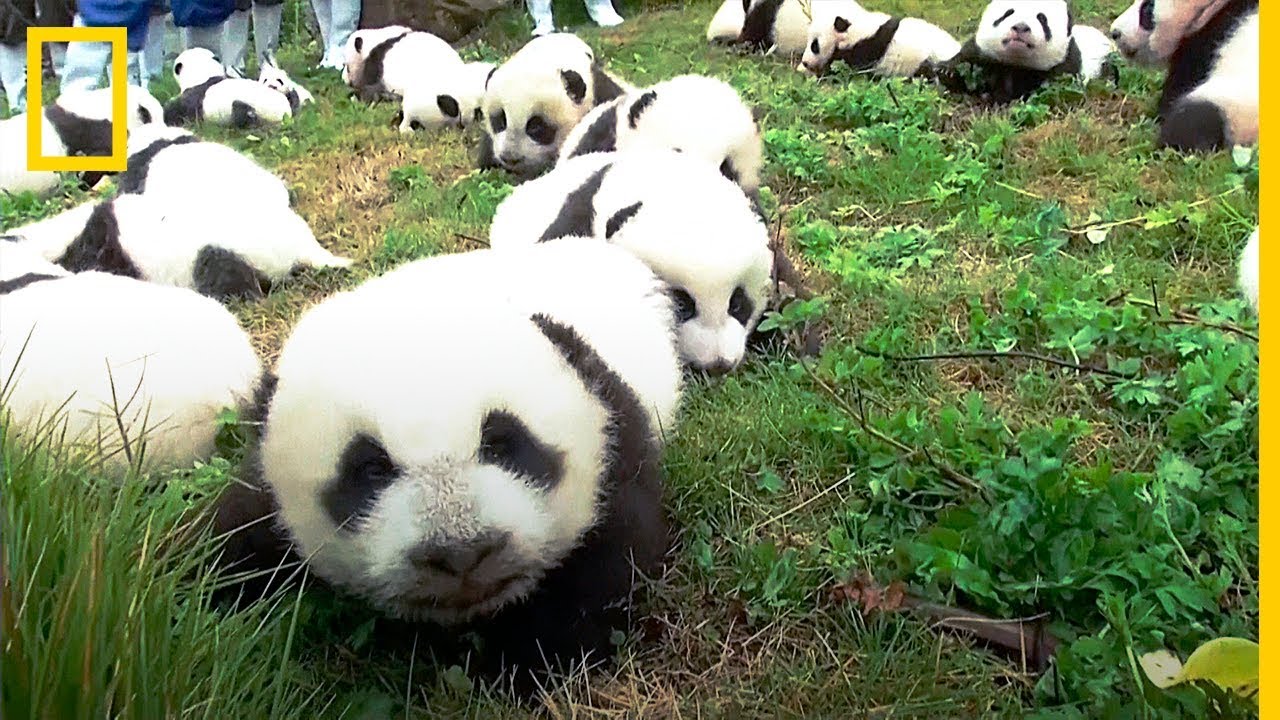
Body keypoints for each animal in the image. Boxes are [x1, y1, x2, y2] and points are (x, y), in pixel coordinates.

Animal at [166, 48, 297, 128]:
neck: (203, 72)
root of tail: (285, 115)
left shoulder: (193, 95)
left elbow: (175, 110)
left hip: (257, 111)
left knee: (241, 112)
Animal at [209, 238, 680, 690]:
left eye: (499, 444)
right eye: (371, 469)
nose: (462, 555)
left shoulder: (611, 433)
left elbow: (607, 559)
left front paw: (528, 662)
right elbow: (237, 536)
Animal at [936, 0, 1116, 104]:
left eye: (1042, 18)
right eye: (1008, 13)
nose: (1021, 27)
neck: (1016, 61)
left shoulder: (1063, 65)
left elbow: (1050, 90)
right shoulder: (984, 54)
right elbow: (966, 63)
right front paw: (947, 72)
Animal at [1122, 0, 1258, 151]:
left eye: (1147, 9)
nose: (1115, 33)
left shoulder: (1211, 38)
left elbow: (1178, 86)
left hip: (1233, 105)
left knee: (1192, 121)